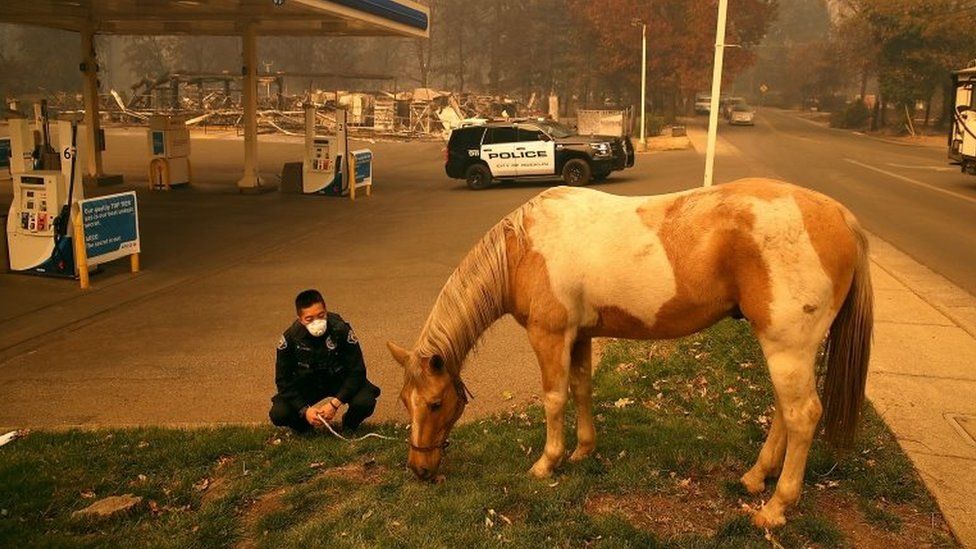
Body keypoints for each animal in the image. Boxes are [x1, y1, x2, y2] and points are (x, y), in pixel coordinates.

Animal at [386, 177, 872, 528]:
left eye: (436, 403)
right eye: (405, 402)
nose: (419, 469)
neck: (524, 248)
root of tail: (841, 216)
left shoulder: (550, 336)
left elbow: (554, 399)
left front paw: (547, 463)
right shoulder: (580, 336)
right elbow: (582, 388)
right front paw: (583, 451)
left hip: (787, 348)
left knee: (803, 415)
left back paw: (775, 508)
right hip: (787, 351)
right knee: (784, 412)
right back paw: (756, 478)